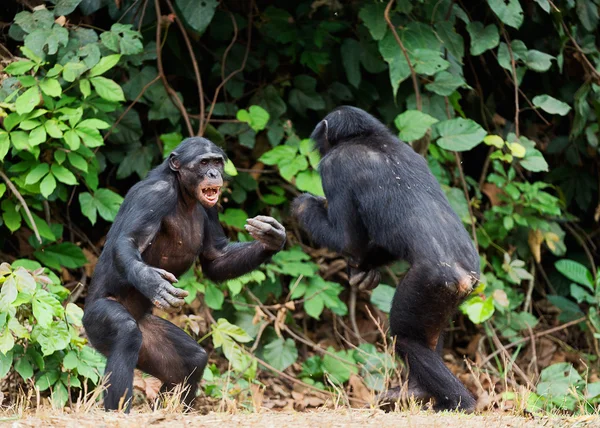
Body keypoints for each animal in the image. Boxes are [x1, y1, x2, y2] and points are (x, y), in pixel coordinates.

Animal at [83, 137, 288, 412]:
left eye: (217, 162)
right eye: (203, 163)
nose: (213, 173)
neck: (183, 194)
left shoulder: (211, 210)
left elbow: (215, 257)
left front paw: (271, 237)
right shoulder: (154, 195)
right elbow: (129, 241)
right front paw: (153, 283)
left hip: (149, 338)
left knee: (193, 360)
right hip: (95, 322)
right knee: (126, 334)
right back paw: (117, 412)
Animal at [290, 106, 478, 412]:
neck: (365, 137)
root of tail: (463, 277)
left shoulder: (333, 167)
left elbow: (347, 239)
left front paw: (303, 205)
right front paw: (365, 271)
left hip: (426, 285)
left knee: (407, 338)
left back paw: (458, 402)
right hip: (449, 295)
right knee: (429, 334)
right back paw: (416, 391)